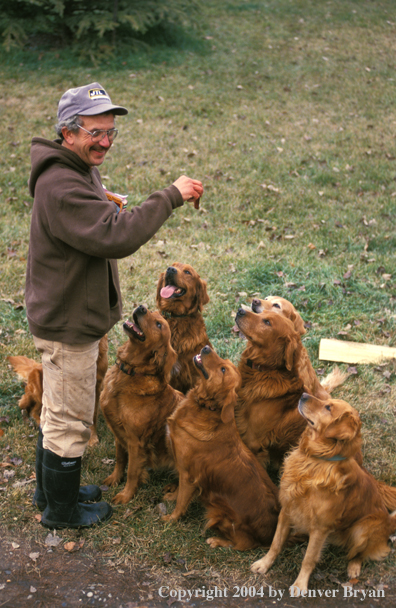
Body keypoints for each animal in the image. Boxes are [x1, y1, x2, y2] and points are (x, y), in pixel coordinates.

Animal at [101, 304, 183, 504]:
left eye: (159, 325)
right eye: (152, 311)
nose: (141, 307)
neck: (129, 372)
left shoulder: (136, 442)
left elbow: (132, 471)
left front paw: (126, 495)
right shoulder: (119, 434)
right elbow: (120, 460)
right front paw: (115, 479)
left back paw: (173, 495)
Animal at [162, 342, 280, 552]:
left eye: (223, 370)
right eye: (223, 361)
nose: (206, 348)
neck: (205, 408)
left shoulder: (188, 476)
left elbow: (181, 502)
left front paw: (172, 518)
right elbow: (178, 494)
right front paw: (171, 496)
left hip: (220, 515)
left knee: (243, 544)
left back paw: (217, 541)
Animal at [252, 392, 396, 596]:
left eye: (328, 407)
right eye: (327, 401)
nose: (303, 394)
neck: (314, 461)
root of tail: (390, 522)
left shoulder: (320, 527)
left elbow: (309, 558)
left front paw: (300, 585)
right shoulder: (287, 509)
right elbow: (276, 543)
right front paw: (264, 564)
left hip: (363, 528)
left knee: (360, 552)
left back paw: (354, 568)